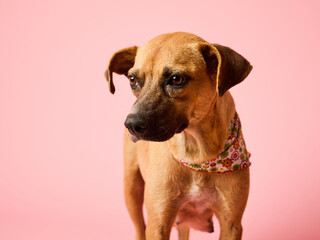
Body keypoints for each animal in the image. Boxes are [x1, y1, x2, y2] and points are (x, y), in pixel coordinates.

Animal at [105, 32, 252, 240]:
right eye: (132, 79)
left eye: (176, 79)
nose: (131, 124)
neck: (196, 154)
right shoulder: (158, 223)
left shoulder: (231, 223)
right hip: (131, 189)